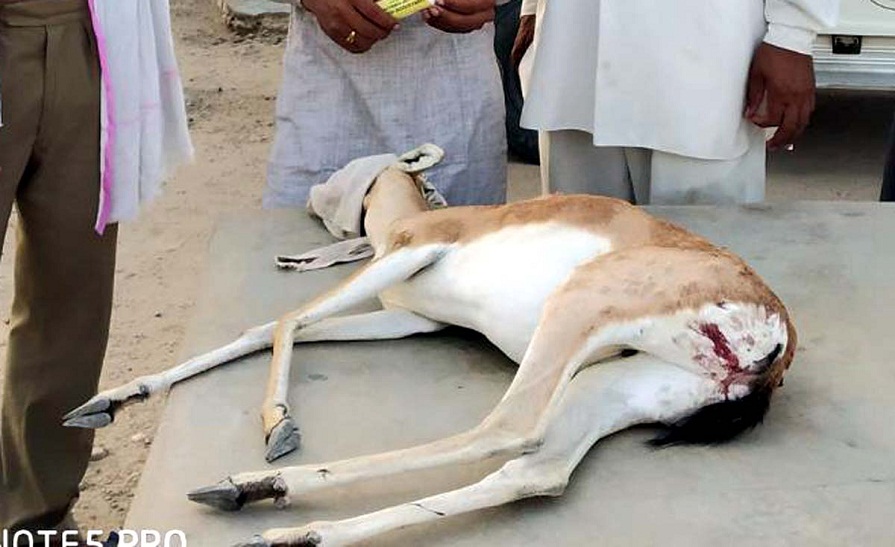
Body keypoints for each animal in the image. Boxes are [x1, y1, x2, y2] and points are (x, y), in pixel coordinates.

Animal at [63, 146, 795, 547]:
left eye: (368, 163)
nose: (315, 193)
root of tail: (777, 342)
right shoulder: (415, 320)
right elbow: (268, 328)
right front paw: (112, 398)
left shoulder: (408, 255)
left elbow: (284, 321)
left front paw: (278, 427)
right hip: (604, 383)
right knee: (536, 471)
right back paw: (281, 519)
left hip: (574, 312)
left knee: (506, 428)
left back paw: (261, 489)